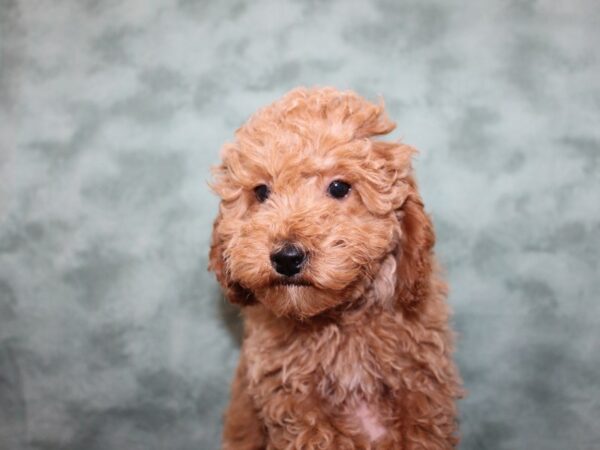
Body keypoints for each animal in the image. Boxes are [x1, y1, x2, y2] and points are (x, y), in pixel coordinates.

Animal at [211, 86, 464, 448]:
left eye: (339, 187)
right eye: (261, 192)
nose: (287, 257)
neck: (340, 322)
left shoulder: (422, 388)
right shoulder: (294, 402)